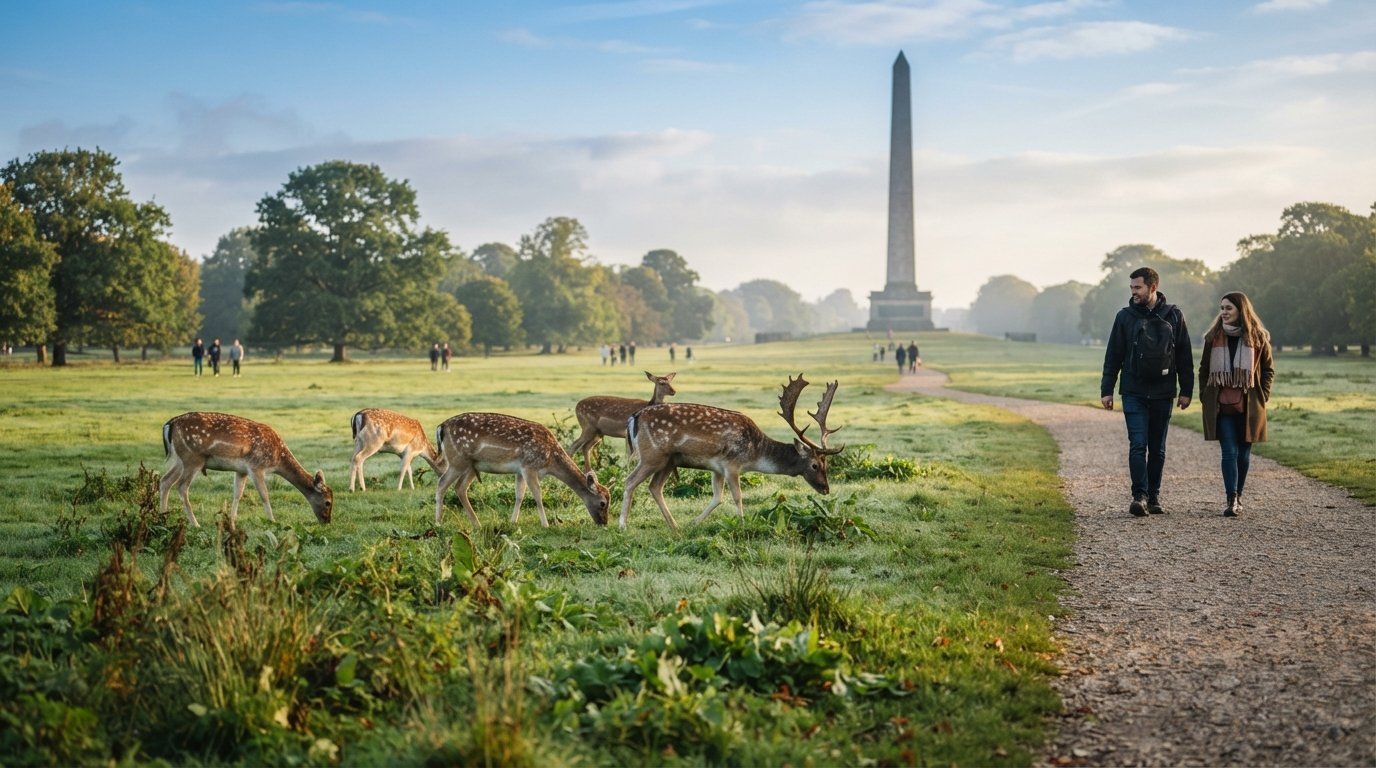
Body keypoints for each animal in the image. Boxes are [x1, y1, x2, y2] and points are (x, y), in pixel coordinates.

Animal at [159, 412, 333, 528]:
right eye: (328, 502)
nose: (327, 521)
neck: (277, 459)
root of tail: (169, 424)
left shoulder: (241, 470)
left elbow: (238, 494)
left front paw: (231, 521)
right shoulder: (256, 466)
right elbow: (264, 495)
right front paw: (273, 521)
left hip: (180, 459)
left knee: (165, 481)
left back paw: (162, 518)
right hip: (193, 458)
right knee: (181, 486)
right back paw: (195, 524)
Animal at [434, 412, 610, 528]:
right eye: (602, 503)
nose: (604, 523)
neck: (550, 460)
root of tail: (441, 427)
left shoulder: (519, 471)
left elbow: (519, 495)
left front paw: (513, 521)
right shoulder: (529, 466)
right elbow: (538, 495)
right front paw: (546, 524)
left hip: (472, 465)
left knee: (459, 487)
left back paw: (476, 523)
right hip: (458, 460)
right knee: (442, 483)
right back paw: (438, 523)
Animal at [617, 374, 843, 531]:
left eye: (827, 464)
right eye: (815, 465)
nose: (826, 489)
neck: (755, 453)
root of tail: (634, 418)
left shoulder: (716, 468)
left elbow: (718, 497)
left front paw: (694, 523)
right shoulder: (732, 464)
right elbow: (737, 496)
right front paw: (742, 524)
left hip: (668, 461)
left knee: (654, 487)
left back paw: (675, 526)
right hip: (652, 455)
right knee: (629, 481)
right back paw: (622, 526)